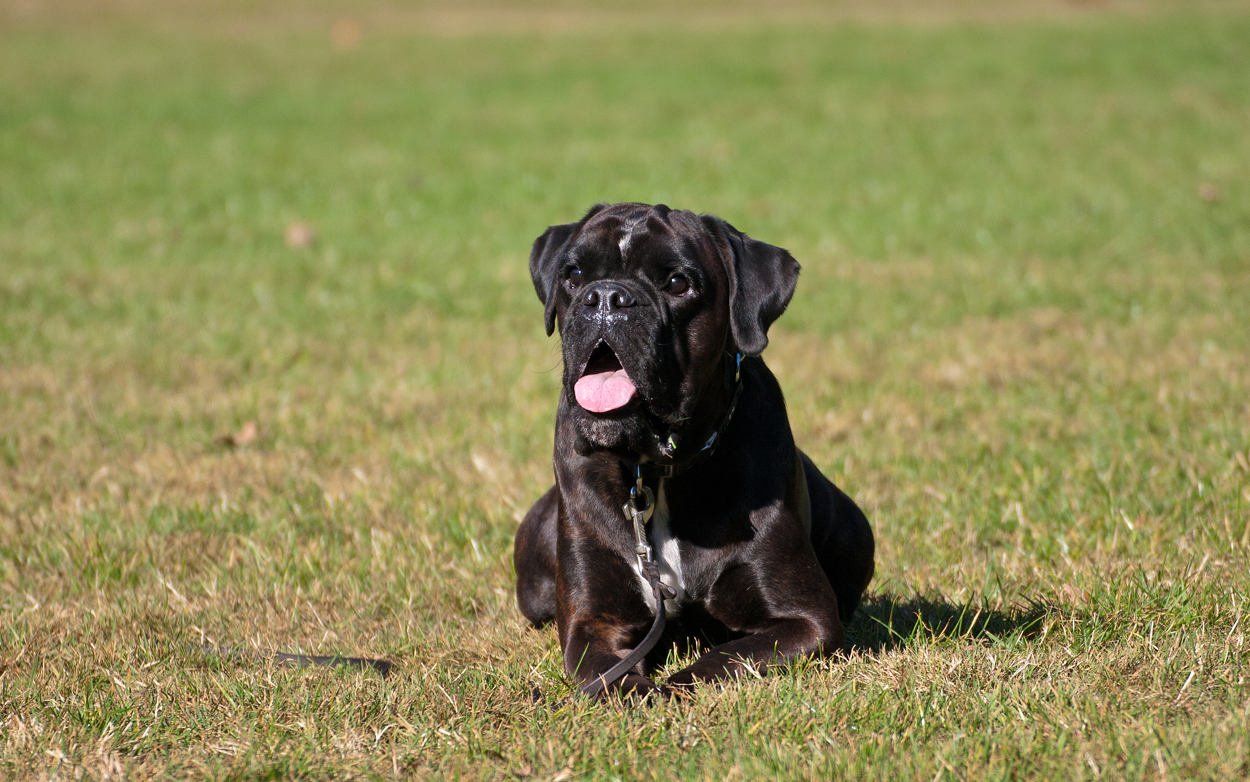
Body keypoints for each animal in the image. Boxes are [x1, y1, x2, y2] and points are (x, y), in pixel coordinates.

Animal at [512, 202, 875, 694]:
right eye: (574, 275)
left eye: (677, 283)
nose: (605, 297)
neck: (656, 471)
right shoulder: (592, 623)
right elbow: (608, 676)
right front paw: (639, 692)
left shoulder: (806, 620)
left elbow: (717, 663)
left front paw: (670, 689)